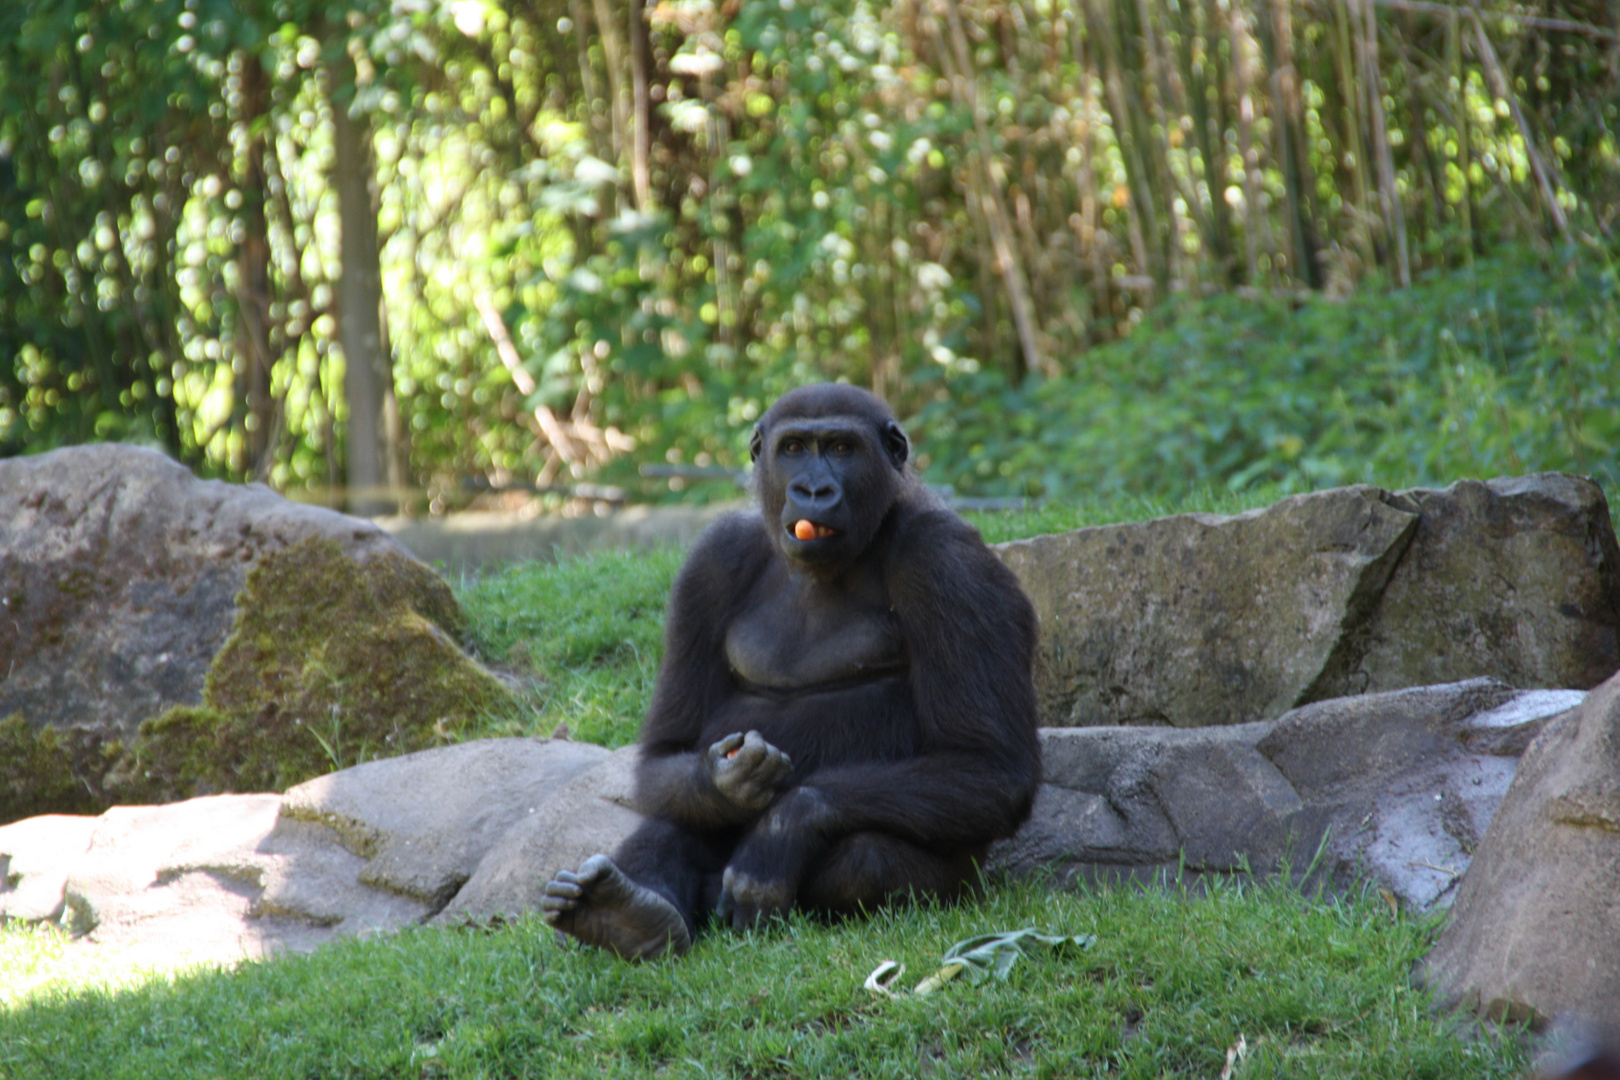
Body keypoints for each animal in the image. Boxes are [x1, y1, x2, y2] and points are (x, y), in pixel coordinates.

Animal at [544, 383, 1036, 958]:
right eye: (794, 448)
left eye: (842, 449)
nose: (813, 489)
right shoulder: (711, 561)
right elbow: (667, 752)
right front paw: (727, 783)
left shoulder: (945, 559)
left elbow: (989, 764)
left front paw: (783, 828)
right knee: (679, 815)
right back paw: (626, 914)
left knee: (865, 860)